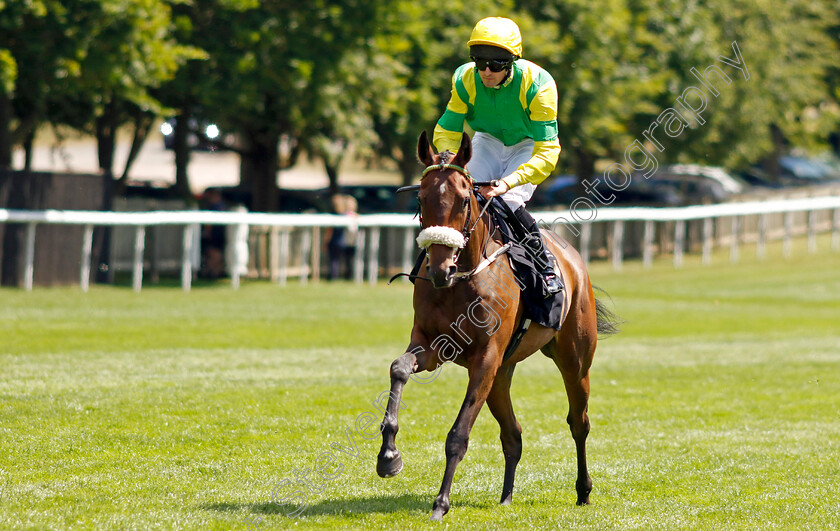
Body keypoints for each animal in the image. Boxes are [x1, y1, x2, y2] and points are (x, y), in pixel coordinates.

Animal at [378, 131, 620, 520]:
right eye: (420, 197)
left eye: (464, 200)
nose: (440, 269)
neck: (462, 280)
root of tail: (573, 257)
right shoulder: (432, 346)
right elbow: (399, 368)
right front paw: (388, 456)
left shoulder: (485, 360)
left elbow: (458, 434)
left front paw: (440, 503)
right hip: (502, 374)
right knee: (513, 433)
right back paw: (506, 496)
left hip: (574, 359)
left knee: (578, 422)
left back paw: (583, 490)